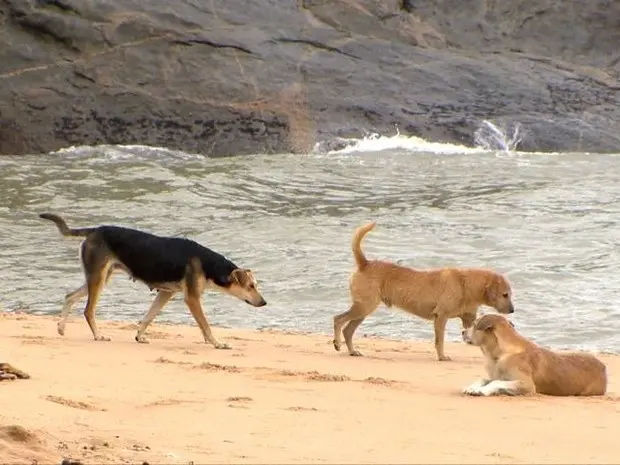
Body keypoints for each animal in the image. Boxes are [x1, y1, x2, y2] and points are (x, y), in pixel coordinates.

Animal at [38, 212, 266, 346]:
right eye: (251, 286)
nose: (264, 303)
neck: (208, 264)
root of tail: (95, 230)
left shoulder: (166, 293)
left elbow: (149, 316)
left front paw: (139, 336)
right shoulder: (192, 298)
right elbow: (205, 323)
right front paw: (216, 343)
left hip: (99, 277)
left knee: (69, 296)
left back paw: (61, 328)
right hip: (98, 279)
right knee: (88, 310)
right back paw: (98, 336)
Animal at [332, 223, 516, 360]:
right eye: (505, 294)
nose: (513, 310)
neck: (465, 284)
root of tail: (365, 263)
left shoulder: (468, 319)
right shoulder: (441, 317)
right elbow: (440, 340)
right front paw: (442, 357)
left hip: (363, 310)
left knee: (348, 330)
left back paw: (352, 351)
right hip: (364, 306)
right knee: (338, 320)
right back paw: (337, 343)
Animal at [464, 312, 604, 396]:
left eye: (474, 325)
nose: (462, 332)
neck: (500, 353)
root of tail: (603, 367)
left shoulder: (528, 385)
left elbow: (496, 382)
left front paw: (483, 390)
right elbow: (484, 379)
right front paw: (472, 387)